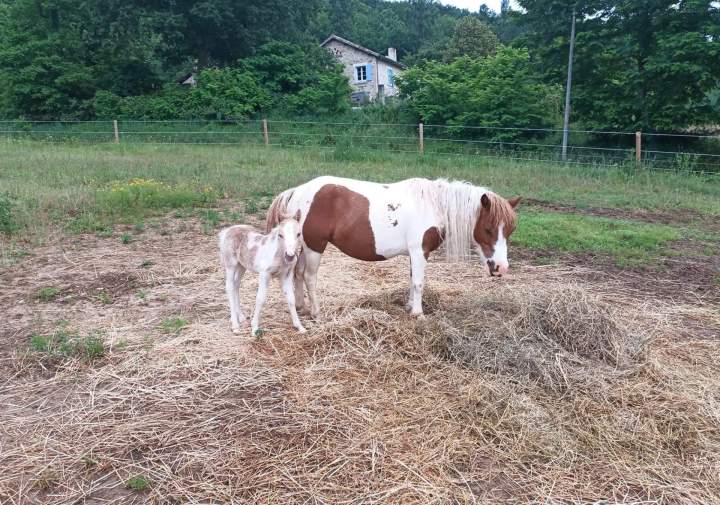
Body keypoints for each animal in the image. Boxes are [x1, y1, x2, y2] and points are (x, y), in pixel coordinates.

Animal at [266, 176, 520, 318]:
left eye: (509, 230)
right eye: (488, 228)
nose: (501, 268)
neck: (433, 205)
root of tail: (296, 191)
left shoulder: (416, 254)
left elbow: (411, 279)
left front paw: (409, 307)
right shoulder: (419, 252)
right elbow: (418, 283)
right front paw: (418, 314)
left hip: (301, 247)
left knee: (297, 275)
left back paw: (300, 306)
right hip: (314, 247)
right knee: (309, 277)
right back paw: (316, 312)